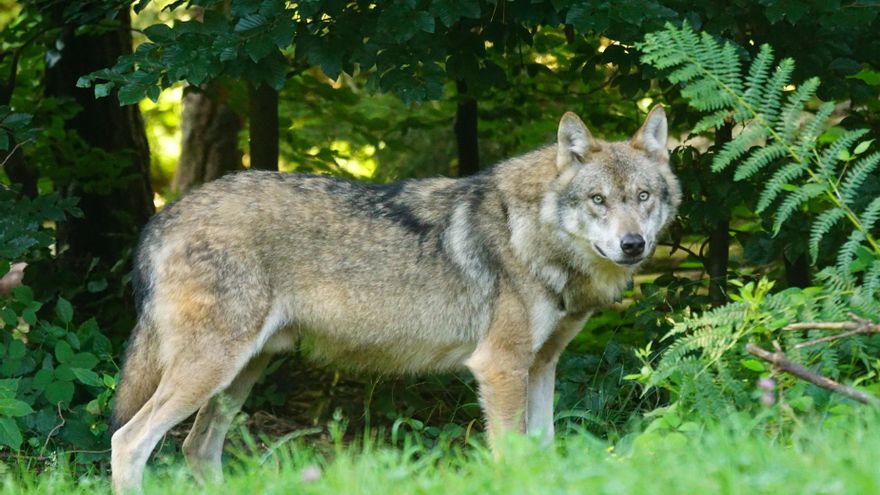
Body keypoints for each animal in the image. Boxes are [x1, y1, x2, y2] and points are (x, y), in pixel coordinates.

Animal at [110, 106, 680, 493]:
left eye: (643, 197)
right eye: (598, 200)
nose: (633, 245)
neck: (531, 234)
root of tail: (163, 216)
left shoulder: (541, 366)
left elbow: (543, 452)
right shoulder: (500, 367)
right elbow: (511, 457)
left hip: (239, 375)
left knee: (197, 448)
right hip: (210, 370)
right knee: (129, 441)